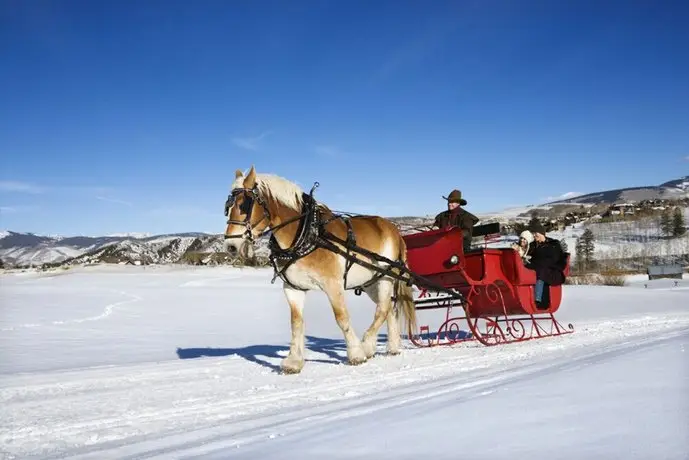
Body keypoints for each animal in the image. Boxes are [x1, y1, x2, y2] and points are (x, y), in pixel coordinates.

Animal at [226, 165, 416, 374]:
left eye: (244, 205)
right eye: (227, 207)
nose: (231, 246)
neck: (307, 233)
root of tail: (395, 230)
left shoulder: (333, 284)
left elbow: (342, 317)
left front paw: (356, 353)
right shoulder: (293, 288)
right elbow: (296, 322)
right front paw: (294, 361)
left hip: (385, 277)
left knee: (382, 309)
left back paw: (367, 345)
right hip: (370, 283)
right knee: (389, 308)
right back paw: (393, 346)